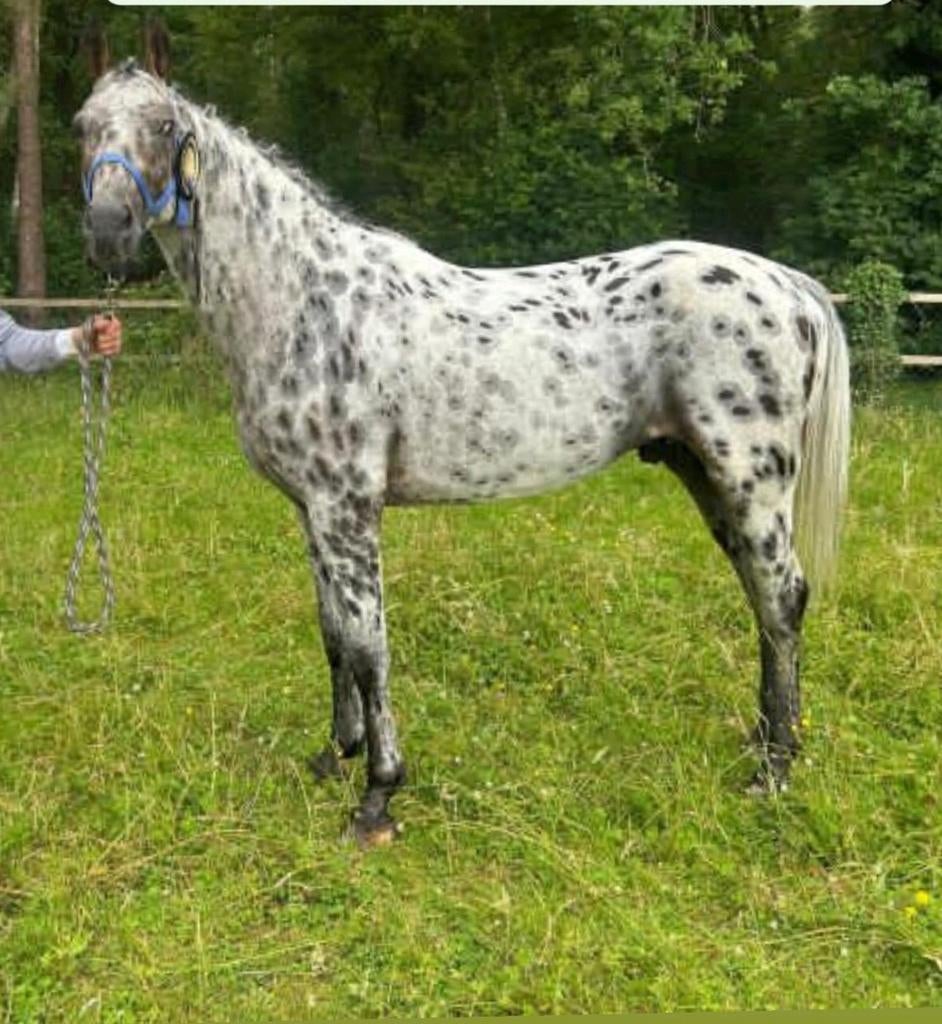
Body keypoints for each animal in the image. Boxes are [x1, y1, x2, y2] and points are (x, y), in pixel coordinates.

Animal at [75, 24, 850, 847]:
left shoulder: (348, 510)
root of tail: (789, 285)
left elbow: (369, 646)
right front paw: (335, 755)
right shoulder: (311, 511)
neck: (305, 303)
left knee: (782, 598)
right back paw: (764, 744)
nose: (107, 232)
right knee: (763, 602)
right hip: (704, 475)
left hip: (750, 481)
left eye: (164, 126)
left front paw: (378, 797)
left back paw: (774, 770)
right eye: (82, 125)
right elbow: (333, 636)